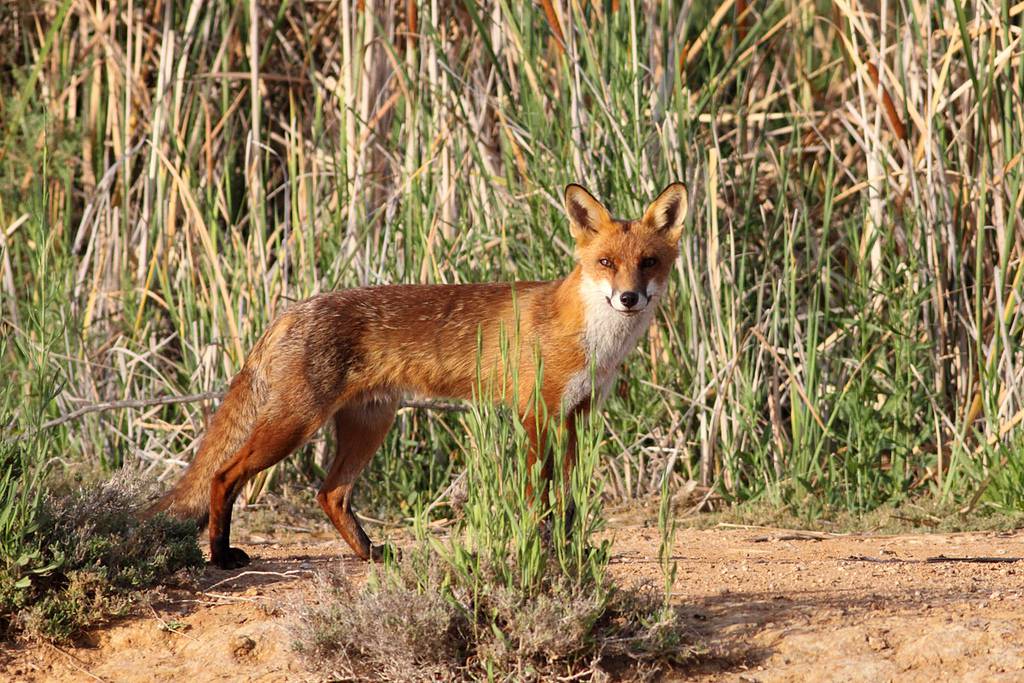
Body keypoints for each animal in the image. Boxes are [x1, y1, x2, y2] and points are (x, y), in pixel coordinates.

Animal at [149, 182, 688, 569]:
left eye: (648, 263)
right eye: (606, 263)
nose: (629, 298)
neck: (593, 343)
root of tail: (291, 311)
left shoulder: (576, 417)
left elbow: (569, 501)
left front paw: (570, 550)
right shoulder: (536, 416)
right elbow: (539, 499)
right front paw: (541, 551)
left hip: (369, 426)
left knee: (330, 494)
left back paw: (370, 554)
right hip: (293, 425)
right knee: (223, 475)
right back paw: (221, 556)